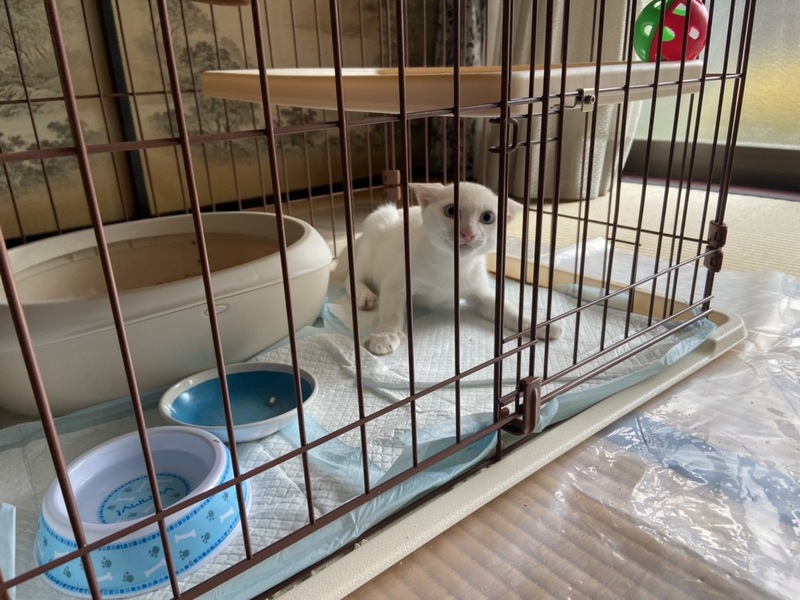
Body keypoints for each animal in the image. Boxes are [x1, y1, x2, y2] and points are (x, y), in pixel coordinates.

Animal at [335, 181, 562, 355]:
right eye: (451, 211)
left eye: (487, 217)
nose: (468, 233)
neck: (452, 265)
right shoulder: (396, 282)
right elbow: (391, 312)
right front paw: (385, 335)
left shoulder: (479, 291)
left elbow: (507, 308)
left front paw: (538, 325)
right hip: (372, 240)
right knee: (350, 278)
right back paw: (364, 295)